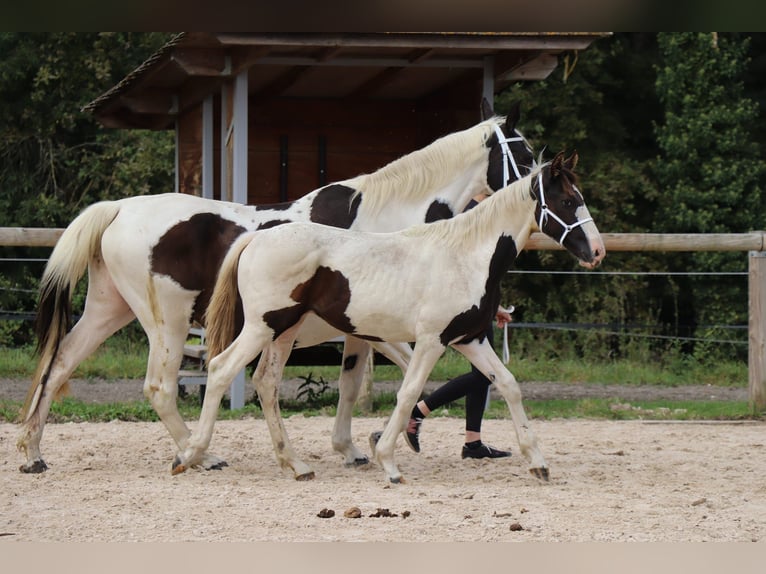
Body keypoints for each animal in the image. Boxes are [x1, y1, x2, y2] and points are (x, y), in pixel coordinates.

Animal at [16, 101, 536, 474]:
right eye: (527, 154)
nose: (538, 189)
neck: (388, 219)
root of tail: (119, 208)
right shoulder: (380, 329)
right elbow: (406, 372)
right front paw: (381, 438)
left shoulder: (362, 331)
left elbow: (353, 384)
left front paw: (356, 446)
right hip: (168, 323)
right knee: (159, 387)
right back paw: (198, 455)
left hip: (109, 310)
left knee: (58, 366)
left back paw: (33, 453)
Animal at [176, 151, 608, 484]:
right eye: (567, 201)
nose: (598, 251)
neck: (467, 256)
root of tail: (256, 238)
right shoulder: (432, 340)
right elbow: (409, 392)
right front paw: (389, 462)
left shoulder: (470, 339)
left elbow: (508, 384)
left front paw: (538, 463)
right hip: (262, 326)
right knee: (219, 369)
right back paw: (191, 456)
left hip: (284, 331)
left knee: (266, 383)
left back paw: (296, 465)